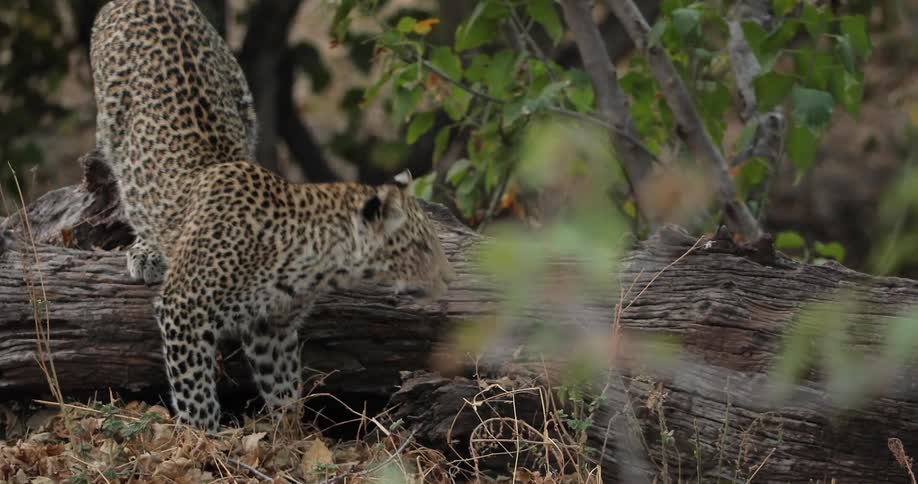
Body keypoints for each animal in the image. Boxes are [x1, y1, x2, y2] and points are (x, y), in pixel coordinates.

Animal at [90, 0, 455, 431]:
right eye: (420, 248)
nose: (449, 279)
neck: (311, 258)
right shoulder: (184, 310)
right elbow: (196, 394)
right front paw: (202, 437)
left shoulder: (271, 327)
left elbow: (283, 389)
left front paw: (289, 435)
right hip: (111, 126)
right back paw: (147, 251)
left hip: (243, 100)